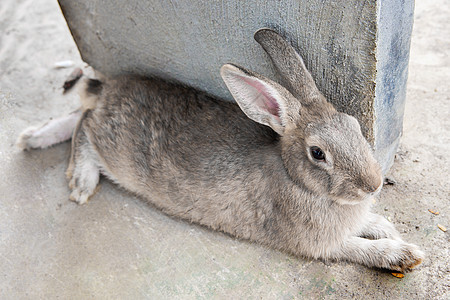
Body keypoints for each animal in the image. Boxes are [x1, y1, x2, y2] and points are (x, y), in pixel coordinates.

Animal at [17, 28, 424, 272]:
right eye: (318, 154)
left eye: (354, 125)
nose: (373, 184)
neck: (296, 180)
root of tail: (108, 91)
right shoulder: (320, 244)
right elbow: (358, 249)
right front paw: (405, 254)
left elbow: (370, 225)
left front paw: (384, 226)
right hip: (112, 146)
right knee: (85, 127)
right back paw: (80, 181)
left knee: (81, 113)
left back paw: (33, 137)